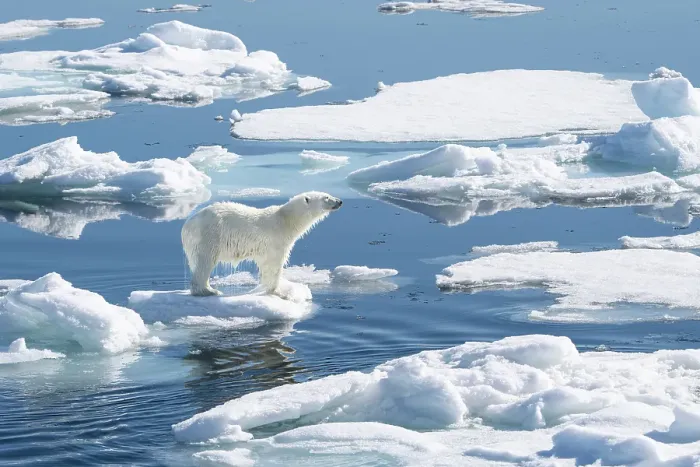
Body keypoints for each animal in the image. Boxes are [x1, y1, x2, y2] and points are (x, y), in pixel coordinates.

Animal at [181, 191, 342, 297]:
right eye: (326, 197)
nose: (340, 201)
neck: (285, 220)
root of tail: (187, 225)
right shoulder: (276, 240)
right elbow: (274, 264)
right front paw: (279, 292)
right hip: (209, 235)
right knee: (205, 260)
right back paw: (209, 290)